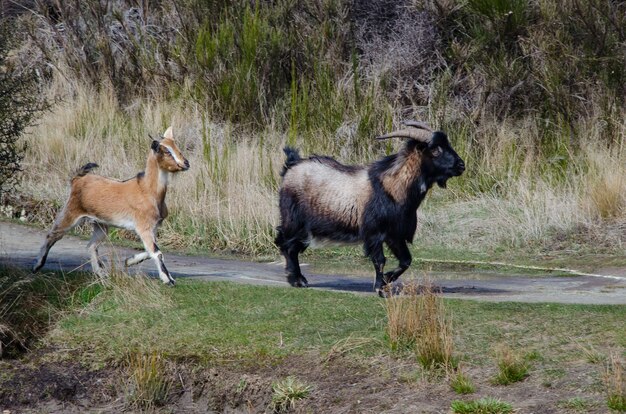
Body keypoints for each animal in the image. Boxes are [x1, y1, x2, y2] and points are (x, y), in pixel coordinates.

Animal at [33, 126, 189, 284]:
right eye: (166, 151)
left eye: (177, 147)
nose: (186, 163)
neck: (147, 190)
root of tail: (77, 179)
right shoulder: (143, 226)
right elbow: (157, 252)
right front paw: (168, 279)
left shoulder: (153, 227)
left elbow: (150, 250)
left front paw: (129, 261)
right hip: (71, 213)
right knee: (53, 234)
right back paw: (37, 266)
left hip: (101, 225)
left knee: (91, 245)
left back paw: (101, 274)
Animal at [274, 122, 464, 294]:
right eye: (435, 149)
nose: (461, 165)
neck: (392, 187)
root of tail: (291, 165)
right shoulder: (374, 232)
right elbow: (380, 260)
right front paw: (380, 288)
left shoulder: (394, 234)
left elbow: (406, 260)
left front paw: (387, 279)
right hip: (294, 221)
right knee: (286, 244)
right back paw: (297, 280)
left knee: (292, 246)